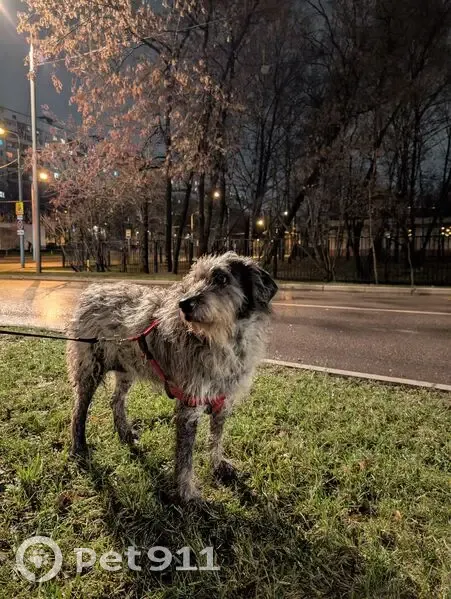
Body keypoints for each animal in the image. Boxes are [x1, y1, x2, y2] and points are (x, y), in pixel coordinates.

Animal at [67, 251, 278, 501]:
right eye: (194, 279)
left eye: (221, 279)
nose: (184, 304)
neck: (220, 341)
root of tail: (92, 290)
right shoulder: (189, 406)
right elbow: (185, 457)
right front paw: (187, 492)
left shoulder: (222, 402)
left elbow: (216, 438)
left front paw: (217, 465)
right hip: (89, 370)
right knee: (79, 411)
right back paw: (79, 446)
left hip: (127, 369)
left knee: (116, 400)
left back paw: (124, 432)